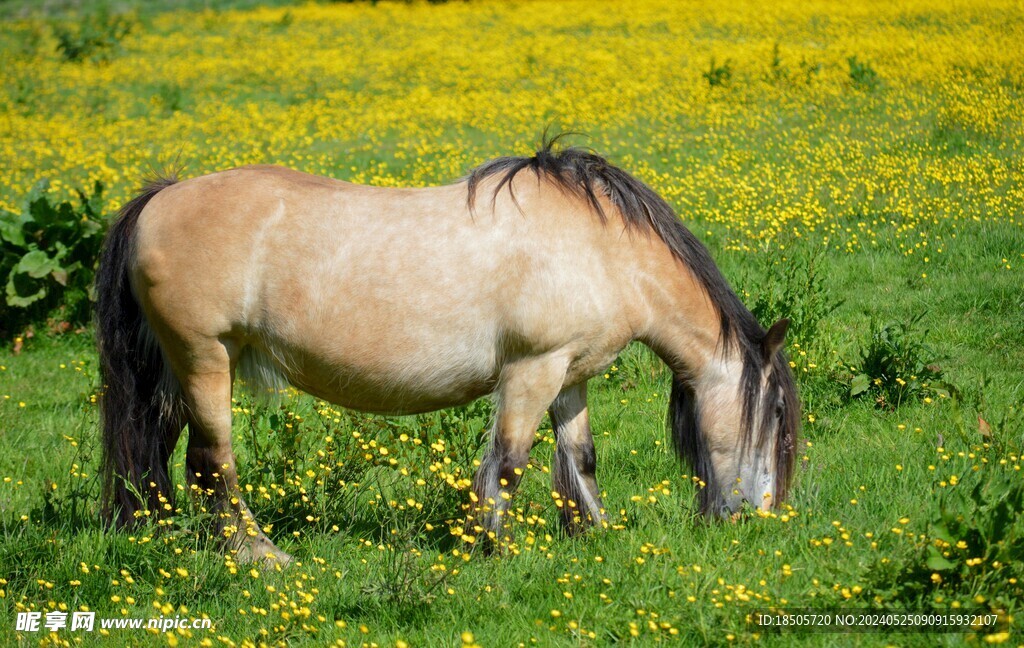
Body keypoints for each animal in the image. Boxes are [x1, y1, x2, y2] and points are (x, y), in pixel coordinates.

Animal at [94, 139, 798, 565]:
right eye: (773, 423)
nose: (758, 518)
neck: (601, 248)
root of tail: (161, 196)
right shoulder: (532, 371)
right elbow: (509, 462)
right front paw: (492, 547)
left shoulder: (569, 375)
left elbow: (580, 458)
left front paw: (594, 533)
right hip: (204, 359)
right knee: (213, 464)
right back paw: (260, 556)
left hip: (178, 371)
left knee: (156, 456)